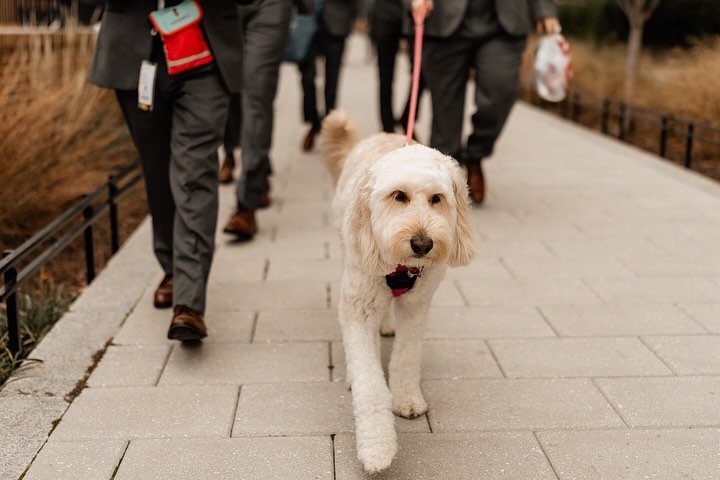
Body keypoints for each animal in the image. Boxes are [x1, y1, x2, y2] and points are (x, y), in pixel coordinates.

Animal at [320, 111, 478, 472]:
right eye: (399, 196)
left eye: (437, 199)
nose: (422, 243)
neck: (402, 267)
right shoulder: (358, 305)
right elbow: (369, 383)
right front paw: (377, 447)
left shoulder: (417, 306)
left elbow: (406, 357)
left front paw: (405, 398)